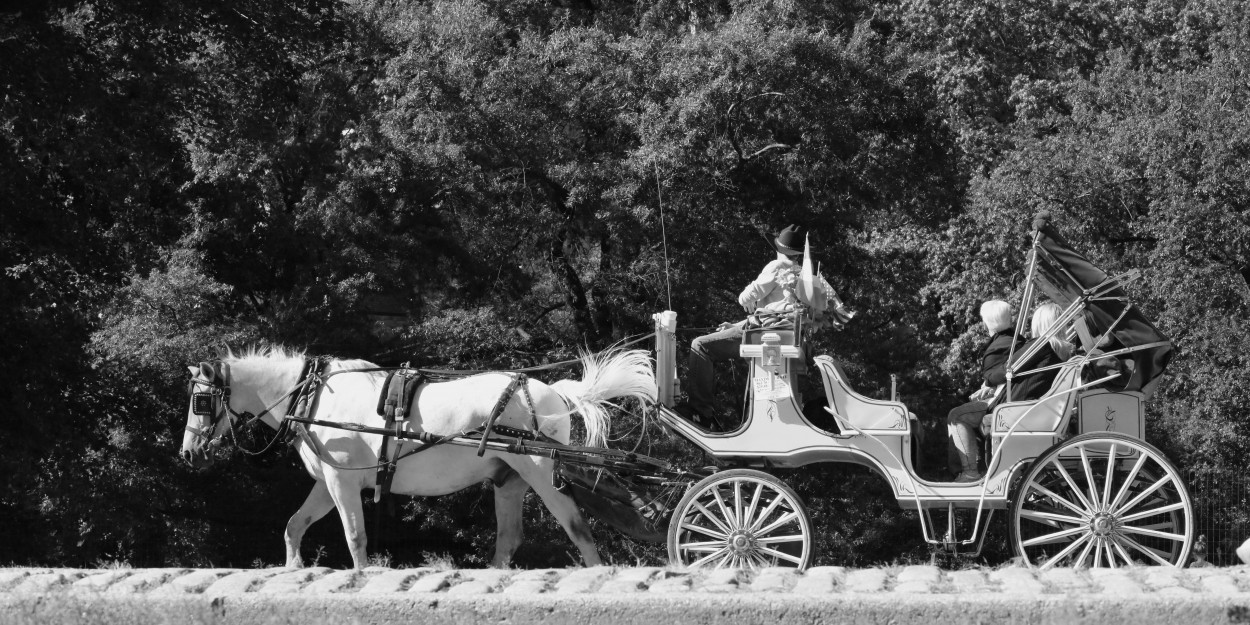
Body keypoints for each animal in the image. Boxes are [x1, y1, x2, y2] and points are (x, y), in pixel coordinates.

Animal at [181, 350, 660, 570]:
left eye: (201, 401)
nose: (188, 453)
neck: (312, 398)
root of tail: (552, 393)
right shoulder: (327, 482)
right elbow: (294, 526)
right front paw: (293, 569)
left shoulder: (342, 482)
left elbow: (355, 537)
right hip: (509, 481)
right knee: (508, 540)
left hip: (542, 473)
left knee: (578, 529)